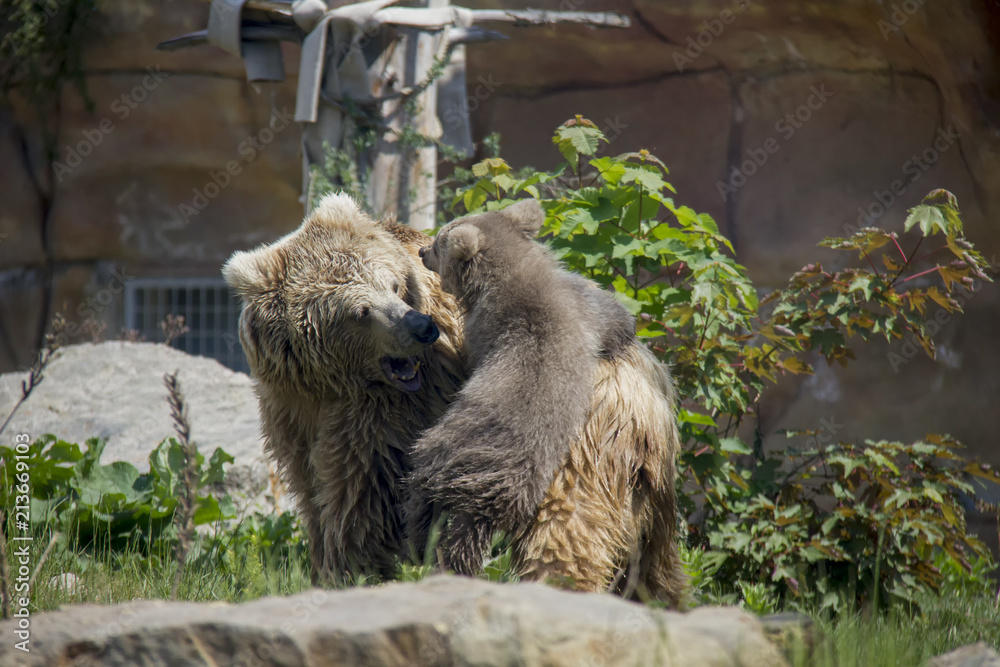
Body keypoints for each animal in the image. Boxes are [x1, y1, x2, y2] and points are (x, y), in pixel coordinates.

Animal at [222, 192, 466, 583]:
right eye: (360, 312)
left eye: (394, 285)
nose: (421, 327)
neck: (330, 381)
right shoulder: (291, 409)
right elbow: (311, 486)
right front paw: (329, 563)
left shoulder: (380, 412)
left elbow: (359, 485)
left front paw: (352, 565)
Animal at [404, 199, 639, 576]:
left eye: (439, 243)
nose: (423, 250)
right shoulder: (578, 307)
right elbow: (613, 316)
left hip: (441, 457)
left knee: (429, 510)